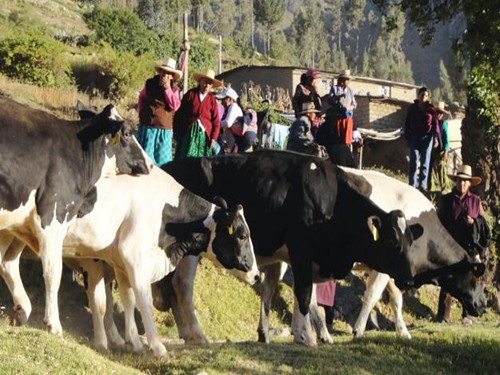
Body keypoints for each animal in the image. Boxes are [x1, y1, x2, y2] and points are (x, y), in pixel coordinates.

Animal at [0, 97, 150, 338]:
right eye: (127, 133)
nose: (149, 164)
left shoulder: (14, 221)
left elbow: (7, 262)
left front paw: (23, 309)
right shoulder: (53, 217)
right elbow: (53, 272)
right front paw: (53, 323)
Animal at [0, 166, 258, 356]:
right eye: (242, 234)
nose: (256, 274)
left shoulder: (119, 262)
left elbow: (126, 298)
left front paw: (133, 342)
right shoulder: (133, 256)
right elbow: (141, 300)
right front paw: (156, 346)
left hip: (13, 234)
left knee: (7, 264)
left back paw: (22, 309)